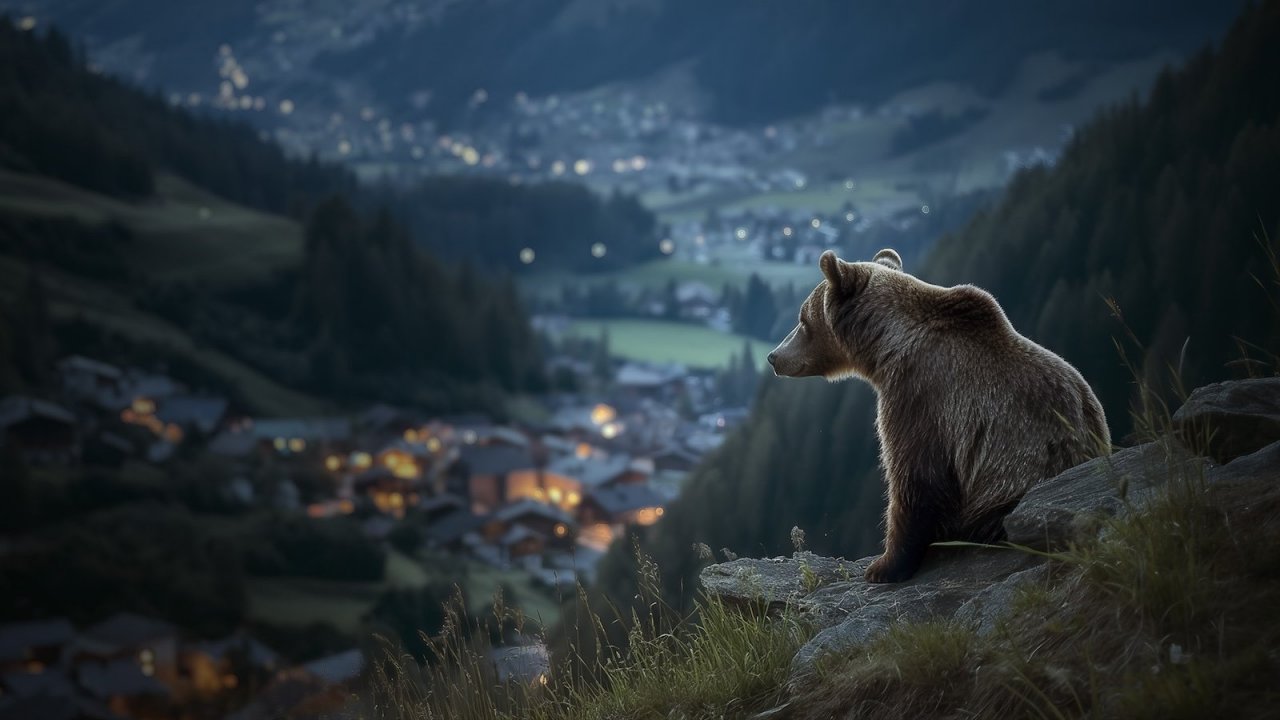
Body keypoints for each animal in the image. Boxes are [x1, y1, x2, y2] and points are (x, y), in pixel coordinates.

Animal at [767, 248, 1110, 583]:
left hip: (1006, 496)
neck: (885, 345)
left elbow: (916, 477)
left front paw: (883, 566)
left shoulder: (920, 396)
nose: (774, 356)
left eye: (802, 319)